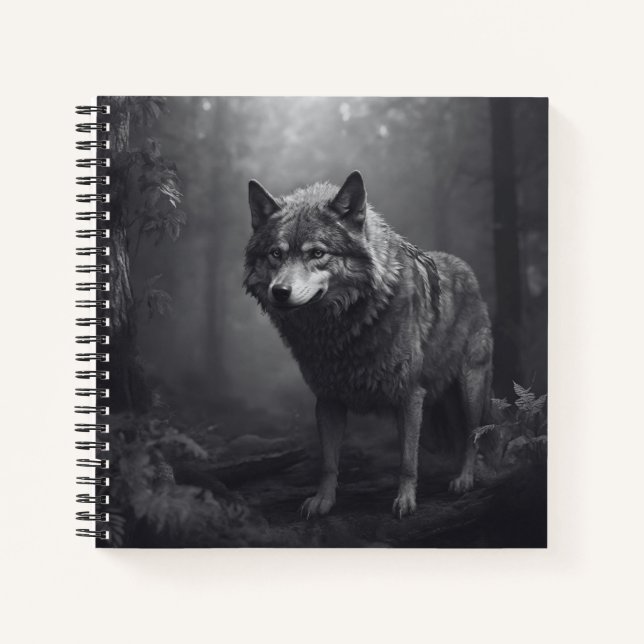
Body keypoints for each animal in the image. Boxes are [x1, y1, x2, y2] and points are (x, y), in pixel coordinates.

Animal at [244, 171, 493, 518]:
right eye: (276, 254)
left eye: (317, 253)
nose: (279, 292)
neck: (344, 329)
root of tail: (468, 270)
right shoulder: (328, 399)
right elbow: (329, 462)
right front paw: (323, 501)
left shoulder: (410, 395)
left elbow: (407, 462)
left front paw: (405, 501)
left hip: (469, 388)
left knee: (472, 435)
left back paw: (464, 479)